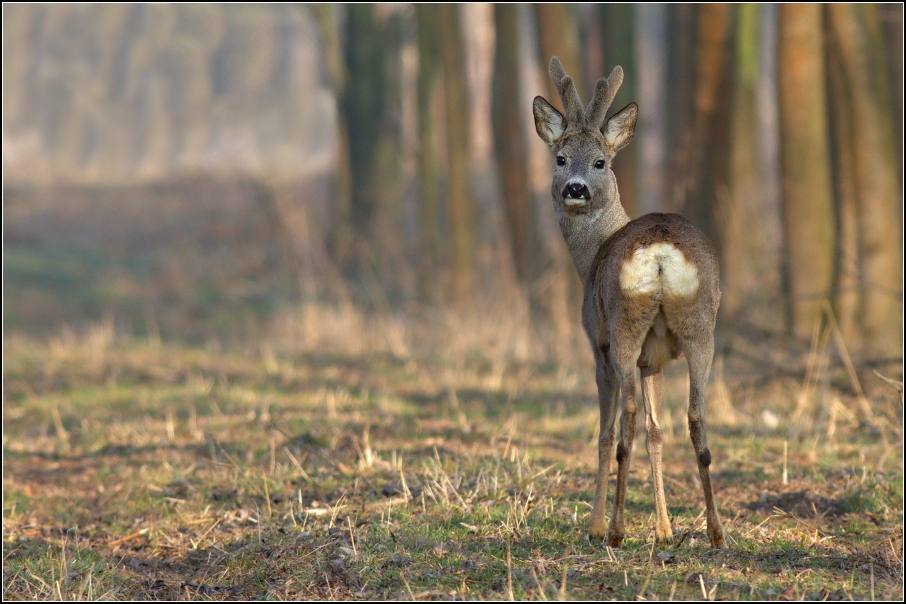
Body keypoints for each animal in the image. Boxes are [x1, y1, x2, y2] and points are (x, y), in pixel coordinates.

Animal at [532, 57, 724, 552]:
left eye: (600, 161)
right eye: (560, 158)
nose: (575, 188)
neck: (590, 256)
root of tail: (659, 254)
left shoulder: (597, 344)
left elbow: (603, 434)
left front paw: (596, 525)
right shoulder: (652, 360)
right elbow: (659, 432)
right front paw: (664, 528)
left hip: (623, 325)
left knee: (627, 424)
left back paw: (615, 531)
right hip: (700, 326)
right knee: (695, 416)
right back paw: (715, 532)